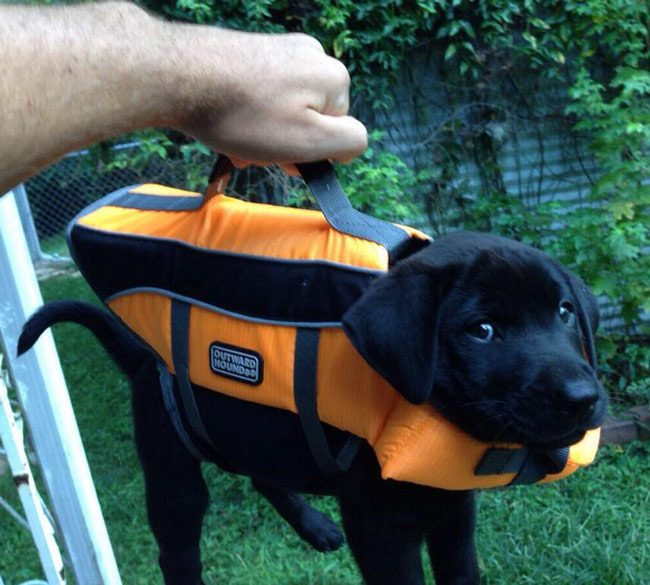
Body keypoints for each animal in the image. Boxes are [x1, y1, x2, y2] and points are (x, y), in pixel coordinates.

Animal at [17, 230, 604, 584]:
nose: (584, 399)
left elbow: (461, 572)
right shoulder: (381, 526)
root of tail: (143, 356)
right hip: (173, 468)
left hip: (256, 434)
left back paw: (313, 527)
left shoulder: (454, 512)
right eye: (481, 330)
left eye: (564, 312)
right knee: (178, 545)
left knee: (260, 473)